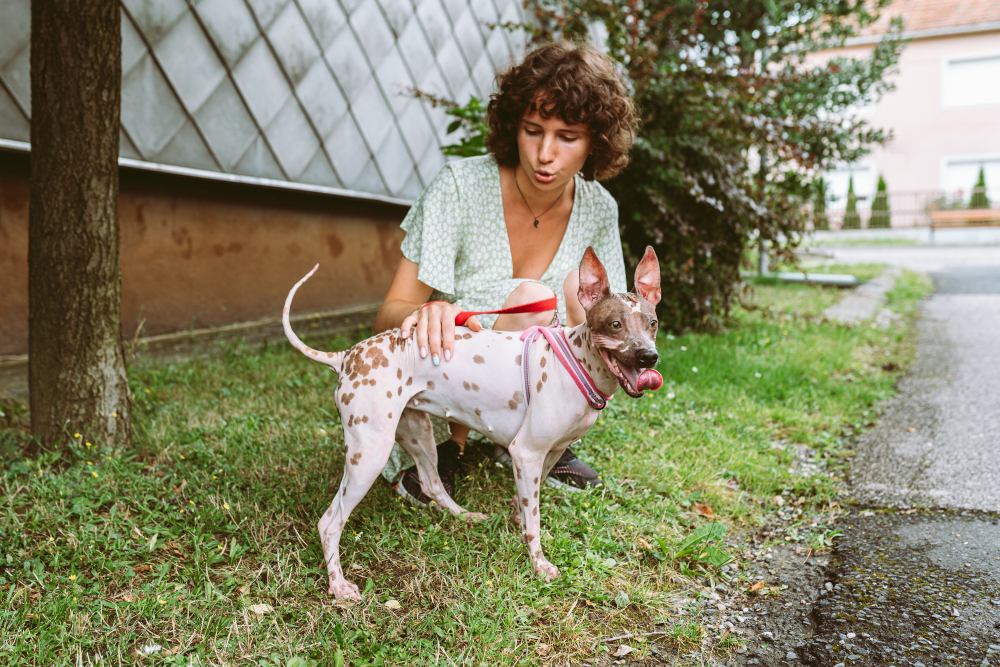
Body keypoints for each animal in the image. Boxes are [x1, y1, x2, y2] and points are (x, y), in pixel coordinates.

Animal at [282, 245, 664, 600]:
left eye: (653, 324)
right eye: (614, 325)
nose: (648, 356)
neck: (576, 360)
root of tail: (346, 356)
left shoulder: (549, 454)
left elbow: (526, 506)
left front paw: (517, 521)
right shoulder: (526, 452)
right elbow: (534, 524)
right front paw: (538, 564)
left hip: (416, 433)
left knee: (433, 484)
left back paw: (464, 516)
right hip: (370, 454)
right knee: (330, 523)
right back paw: (339, 587)